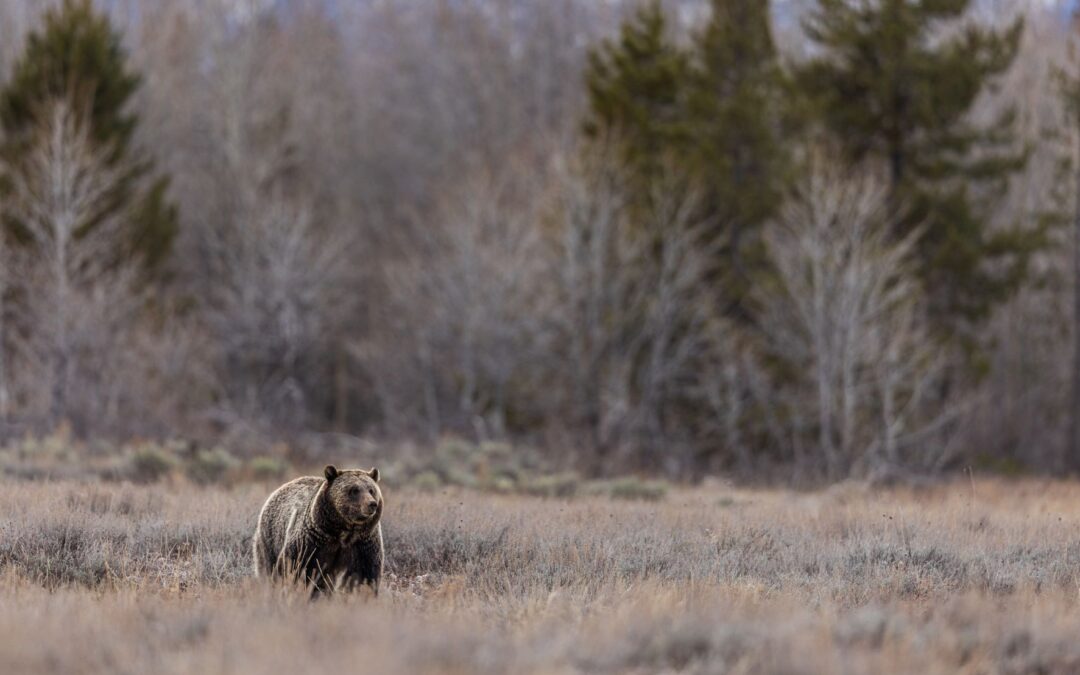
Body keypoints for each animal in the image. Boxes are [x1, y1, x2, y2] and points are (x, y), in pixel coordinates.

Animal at [252, 462, 384, 596]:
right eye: (354, 490)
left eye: (371, 490)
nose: (372, 504)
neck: (343, 532)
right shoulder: (311, 541)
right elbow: (290, 565)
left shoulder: (363, 545)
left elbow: (365, 576)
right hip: (269, 538)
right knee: (266, 566)